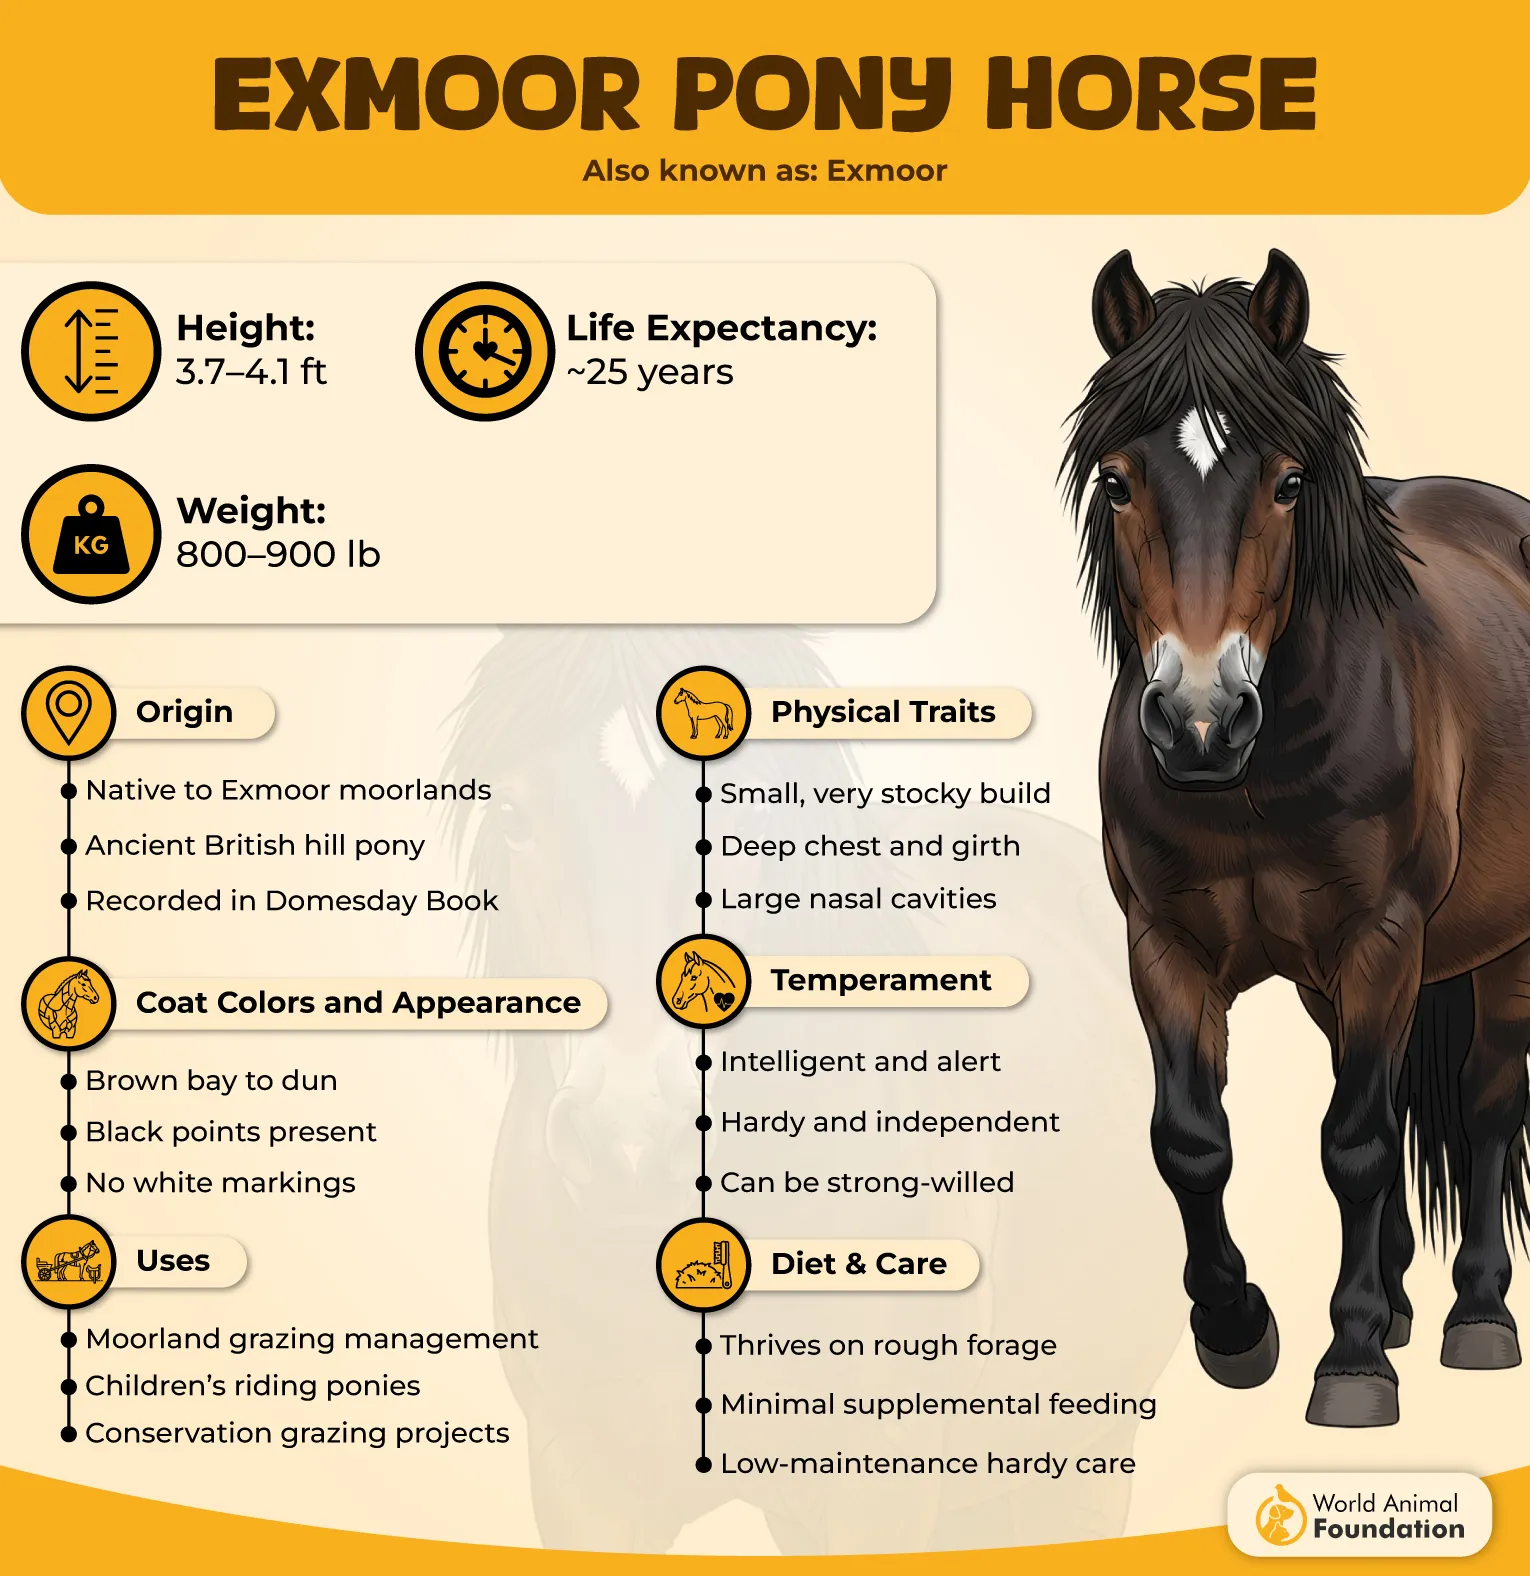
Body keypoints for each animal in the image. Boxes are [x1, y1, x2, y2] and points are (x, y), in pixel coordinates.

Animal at [1068, 246, 1530, 1429]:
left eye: (1287, 483)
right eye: (1118, 480)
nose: (1199, 721)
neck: (1253, 783)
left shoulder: (1382, 938)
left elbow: (1356, 1144)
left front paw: (1353, 1362)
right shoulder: (1166, 946)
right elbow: (1192, 1143)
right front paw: (1240, 1329)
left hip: (1499, 947)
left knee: (1488, 1100)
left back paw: (1474, 1317)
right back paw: (1403, 1303)